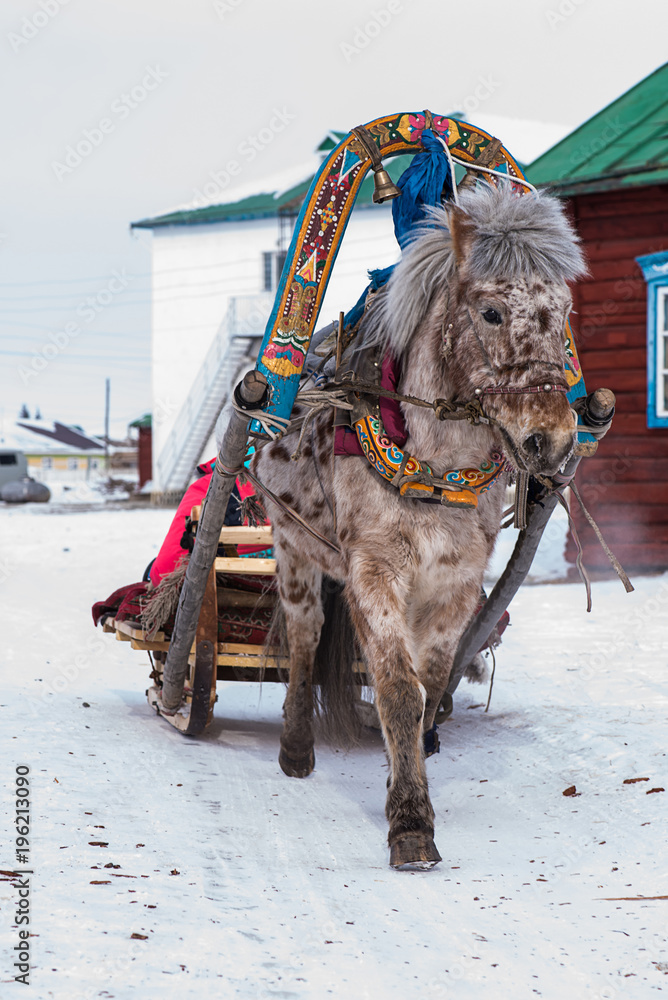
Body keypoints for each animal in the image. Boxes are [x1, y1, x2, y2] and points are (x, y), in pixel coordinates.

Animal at [251, 183, 587, 869]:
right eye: (491, 312)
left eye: (563, 312)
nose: (553, 440)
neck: (434, 468)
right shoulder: (374, 571)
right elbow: (398, 688)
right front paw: (410, 822)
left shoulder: (454, 583)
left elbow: (427, 687)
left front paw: (404, 774)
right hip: (293, 549)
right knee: (304, 636)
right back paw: (296, 749)